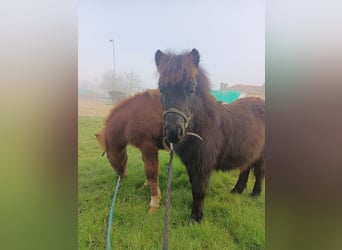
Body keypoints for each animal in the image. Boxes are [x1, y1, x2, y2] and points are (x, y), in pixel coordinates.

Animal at [155, 48, 264, 223]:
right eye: (161, 89)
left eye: (191, 89)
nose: (173, 132)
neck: (202, 125)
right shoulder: (191, 164)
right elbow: (194, 186)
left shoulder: (203, 164)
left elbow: (199, 189)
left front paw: (195, 218)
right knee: (245, 168)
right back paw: (237, 190)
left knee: (259, 173)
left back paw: (255, 194)